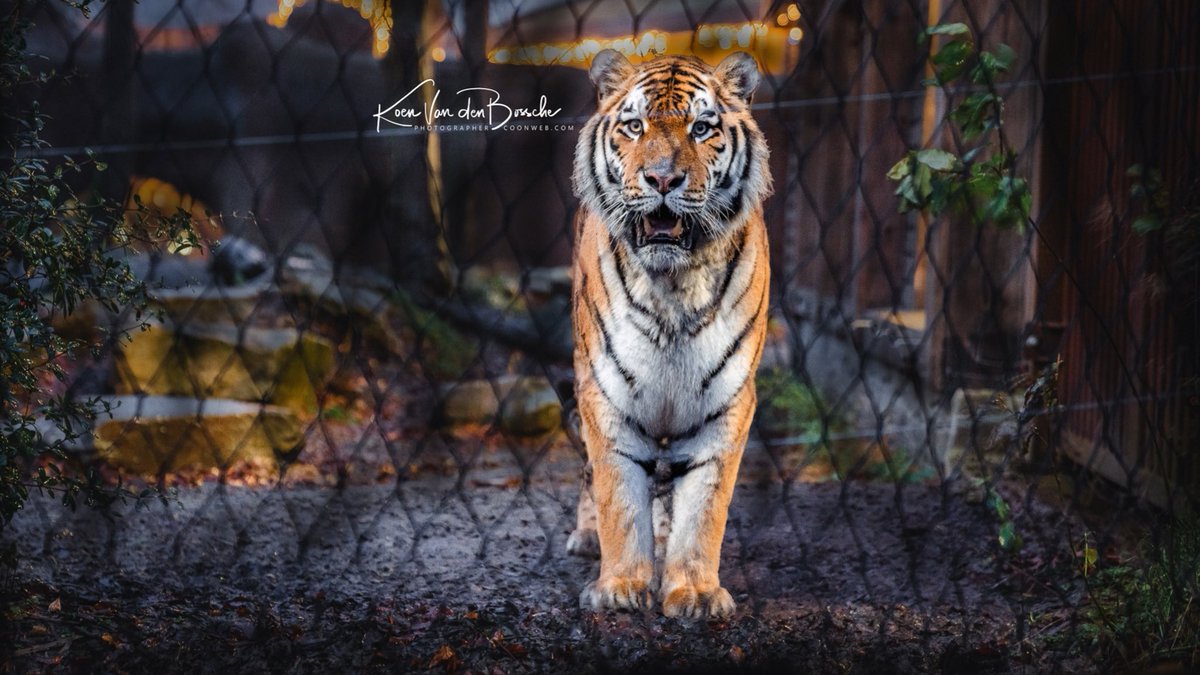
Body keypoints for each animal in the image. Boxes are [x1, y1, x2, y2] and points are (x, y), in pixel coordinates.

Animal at [566, 49, 771, 619]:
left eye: (702, 127)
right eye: (635, 126)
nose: (662, 179)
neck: (673, 285)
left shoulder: (726, 404)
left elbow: (703, 508)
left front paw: (695, 592)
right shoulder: (605, 395)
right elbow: (618, 497)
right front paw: (619, 587)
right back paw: (587, 537)